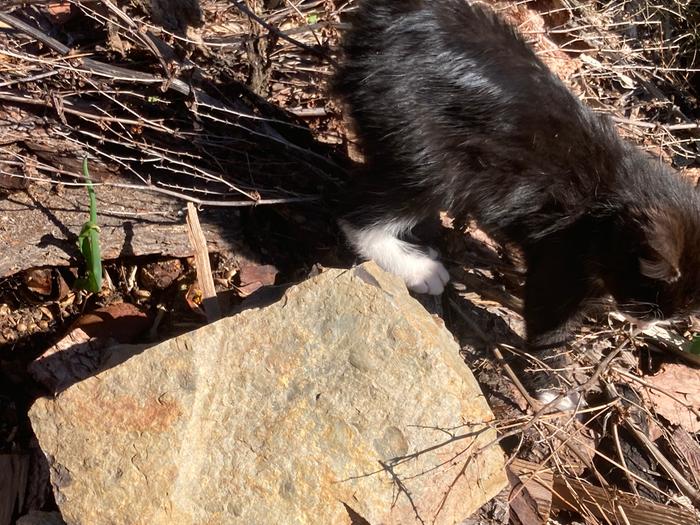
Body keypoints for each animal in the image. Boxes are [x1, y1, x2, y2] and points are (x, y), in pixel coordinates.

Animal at [332, 0, 700, 396]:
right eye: (654, 302)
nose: (647, 325)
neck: (612, 199)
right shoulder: (563, 254)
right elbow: (549, 321)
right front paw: (554, 385)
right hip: (429, 152)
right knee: (357, 216)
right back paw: (419, 268)